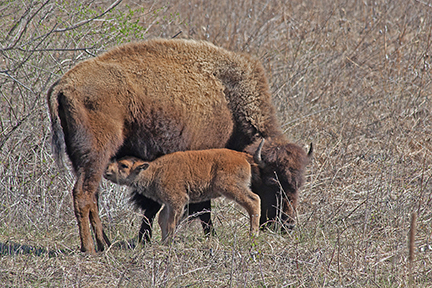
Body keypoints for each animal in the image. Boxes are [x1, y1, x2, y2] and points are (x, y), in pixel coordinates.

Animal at [104, 146, 264, 241]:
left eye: (124, 165)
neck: (154, 171)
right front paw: (164, 241)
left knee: (253, 200)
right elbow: (163, 219)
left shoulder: (177, 201)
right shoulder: (168, 204)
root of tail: (242, 156)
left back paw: (253, 234)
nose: (107, 171)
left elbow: (171, 222)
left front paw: (169, 242)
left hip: (231, 187)